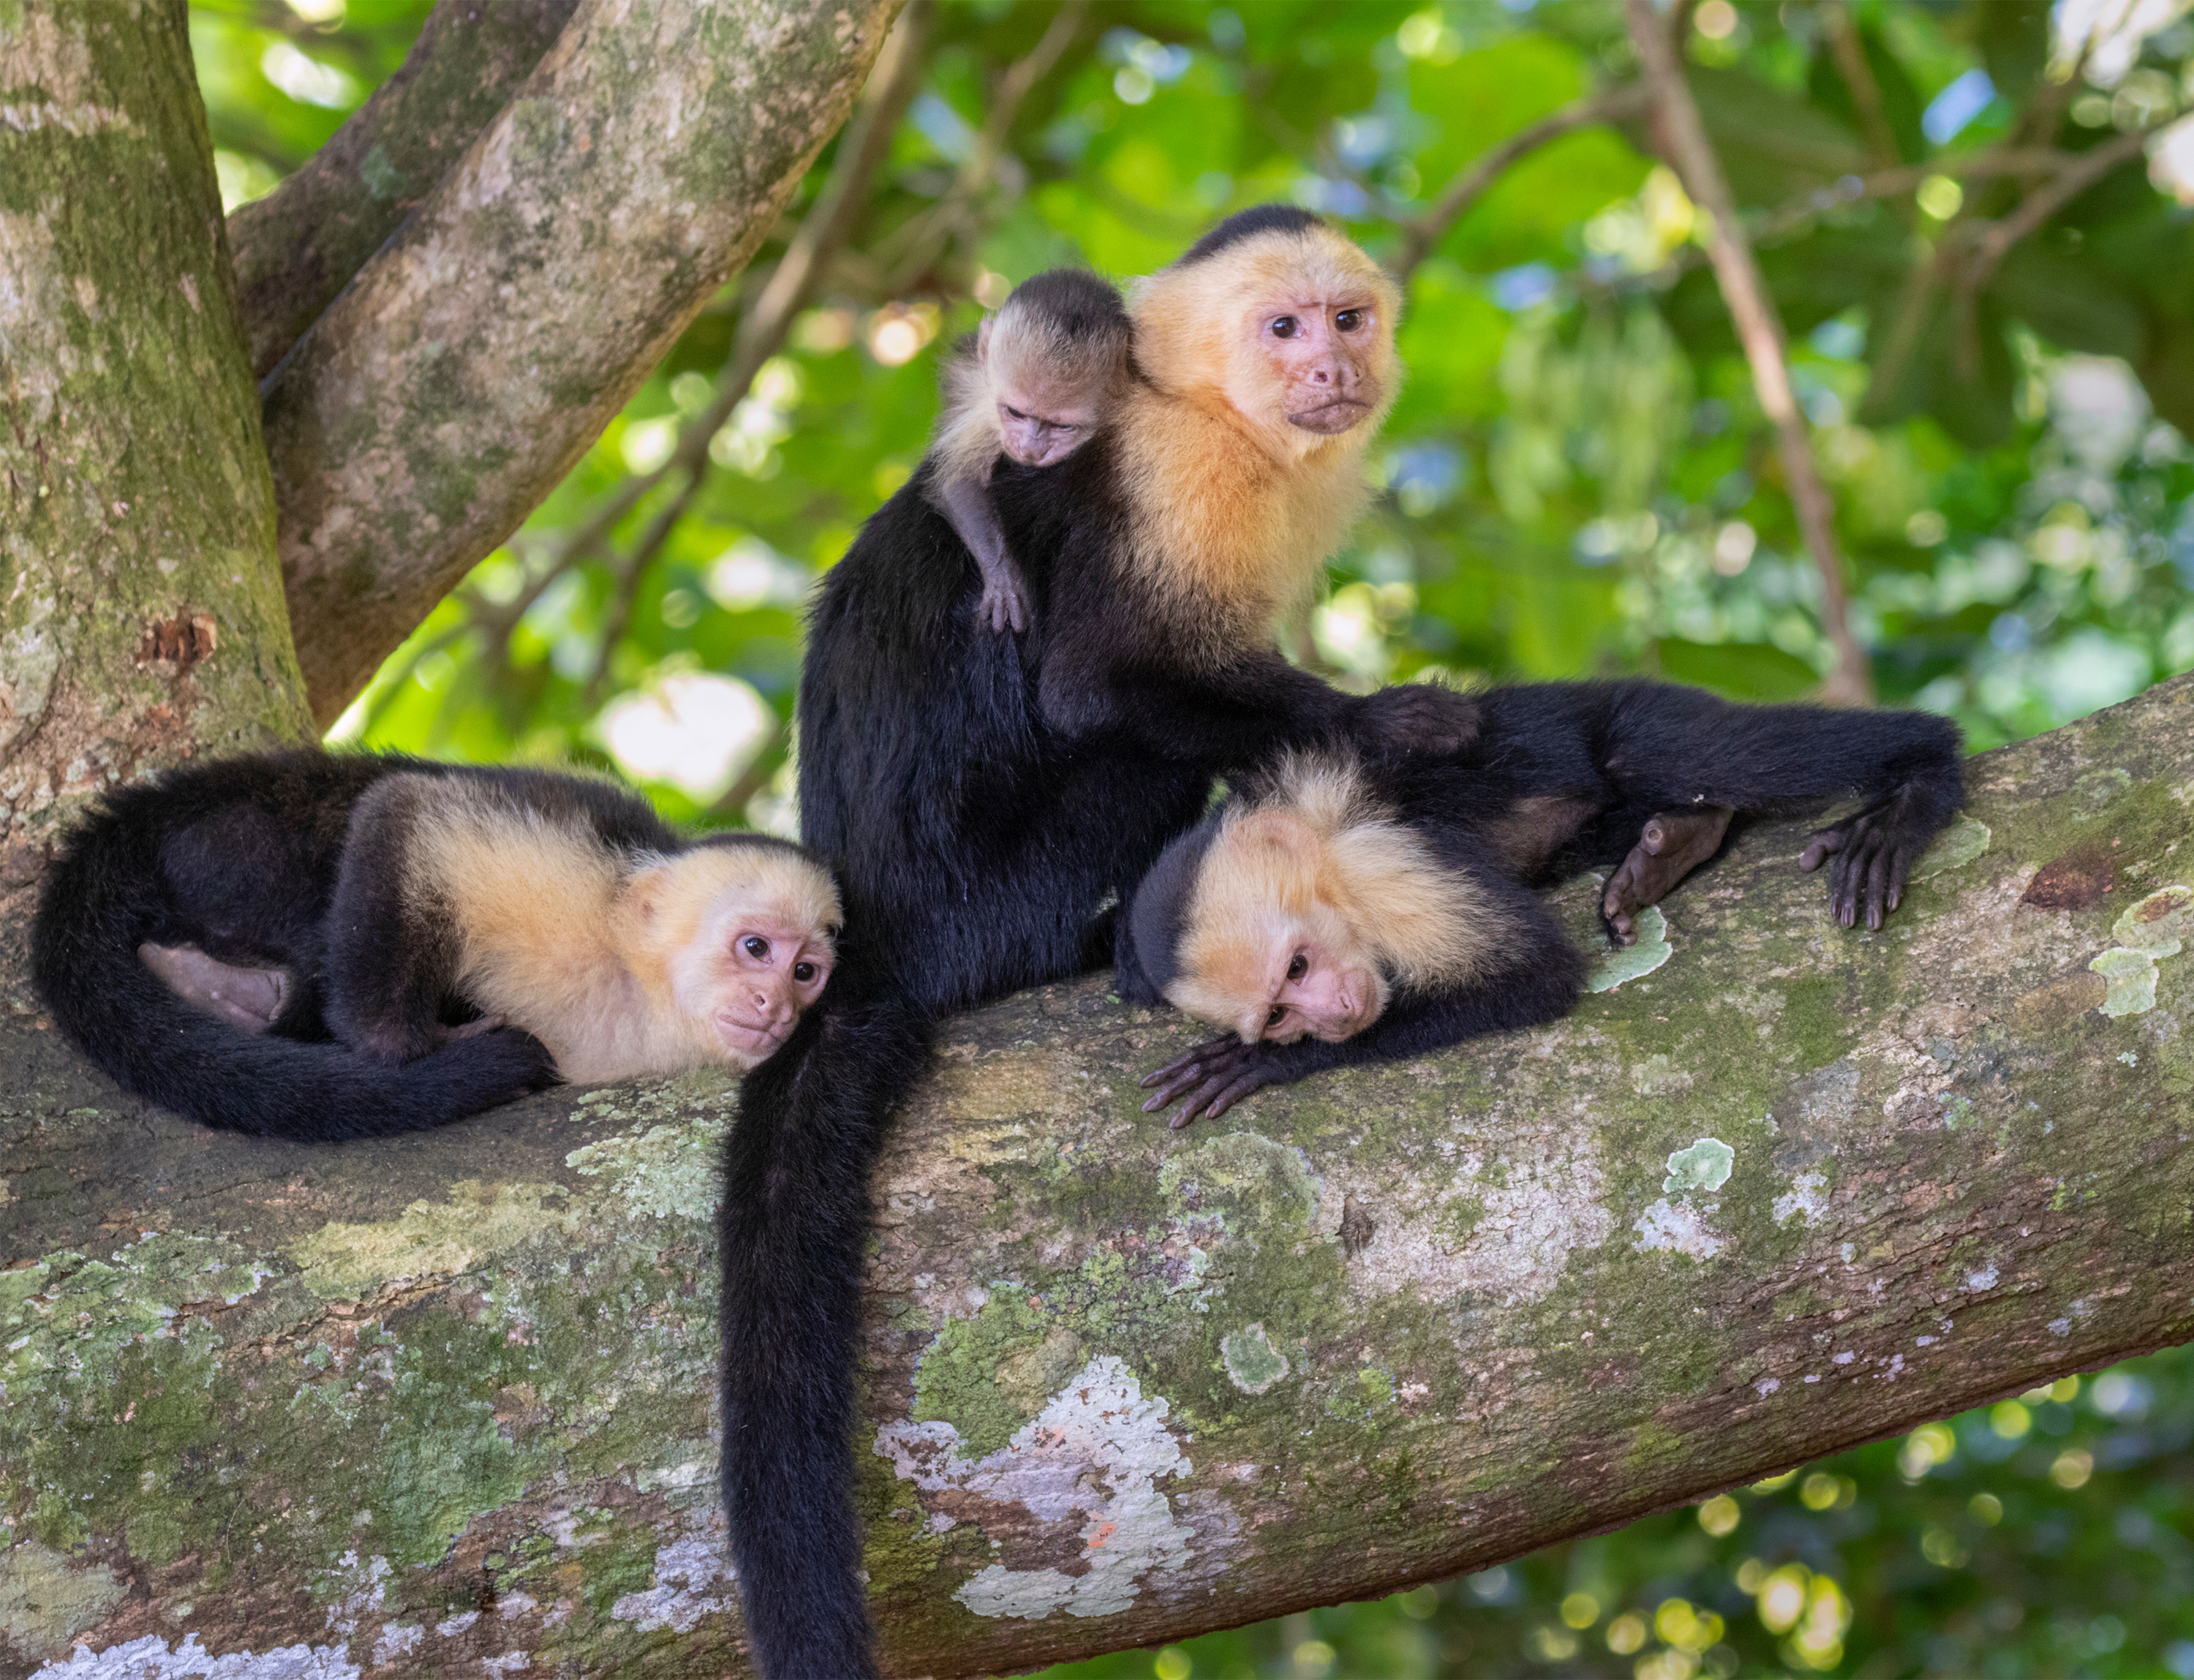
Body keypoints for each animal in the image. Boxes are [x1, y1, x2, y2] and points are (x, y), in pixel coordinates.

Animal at [34, 754, 838, 1140]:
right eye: (756, 947)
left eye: (806, 972)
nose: (774, 1004)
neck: (635, 984)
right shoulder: (570, 877)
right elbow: (408, 811)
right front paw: (403, 1047)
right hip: (233, 849)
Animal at [926, 269, 1132, 640]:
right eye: (1015, 413)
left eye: (1062, 426)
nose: (1031, 449)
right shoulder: (987, 408)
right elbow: (959, 481)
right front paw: (1004, 578)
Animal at [1123, 675, 1966, 1123]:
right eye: (1276, 1011)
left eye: (1297, 967)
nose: (1328, 1020)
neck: (1330, 868)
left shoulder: (1384, 863)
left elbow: (1537, 972)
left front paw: (1260, 1066)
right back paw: (1678, 843)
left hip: (1628, 709)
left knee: (1714, 753)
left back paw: (1917, 783)